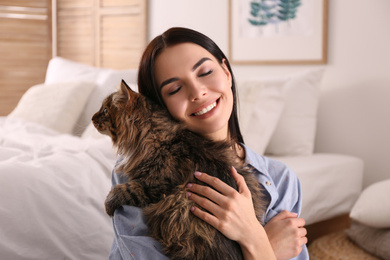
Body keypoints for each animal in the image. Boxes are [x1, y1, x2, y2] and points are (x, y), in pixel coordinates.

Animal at [93, 80, 266, 258]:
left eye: (105, 111)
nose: (92, 118)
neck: (153, 135)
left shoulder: (155, 185)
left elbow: (124, 190)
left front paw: (108, 205)